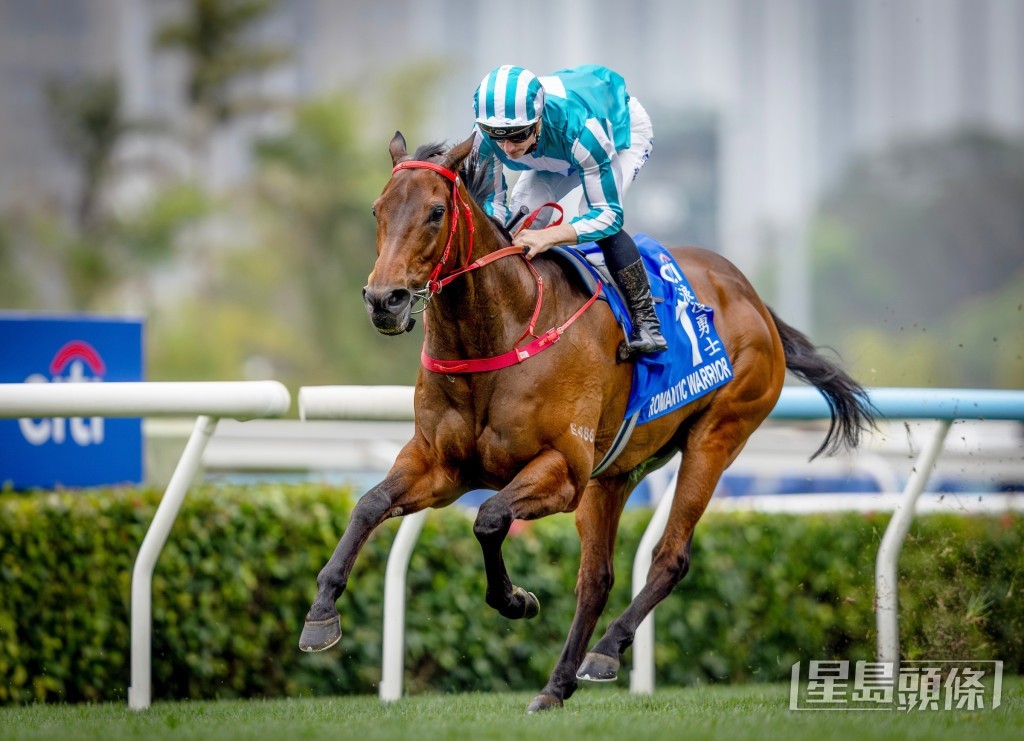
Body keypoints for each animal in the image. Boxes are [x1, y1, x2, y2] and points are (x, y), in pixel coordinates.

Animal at [299, 132, 874, 713]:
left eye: (436, 212)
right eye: (378, 209)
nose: (384, 300)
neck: (500, 333)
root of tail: (752, 296)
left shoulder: (563, 472)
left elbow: (489, 518)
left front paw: (515, 599)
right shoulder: (440, 465)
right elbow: (370, 504)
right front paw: (321, 614)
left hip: (716, 437)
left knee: (670, 557)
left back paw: (604, 651)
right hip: (617, 470)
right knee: (597, 577)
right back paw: (556, 685)